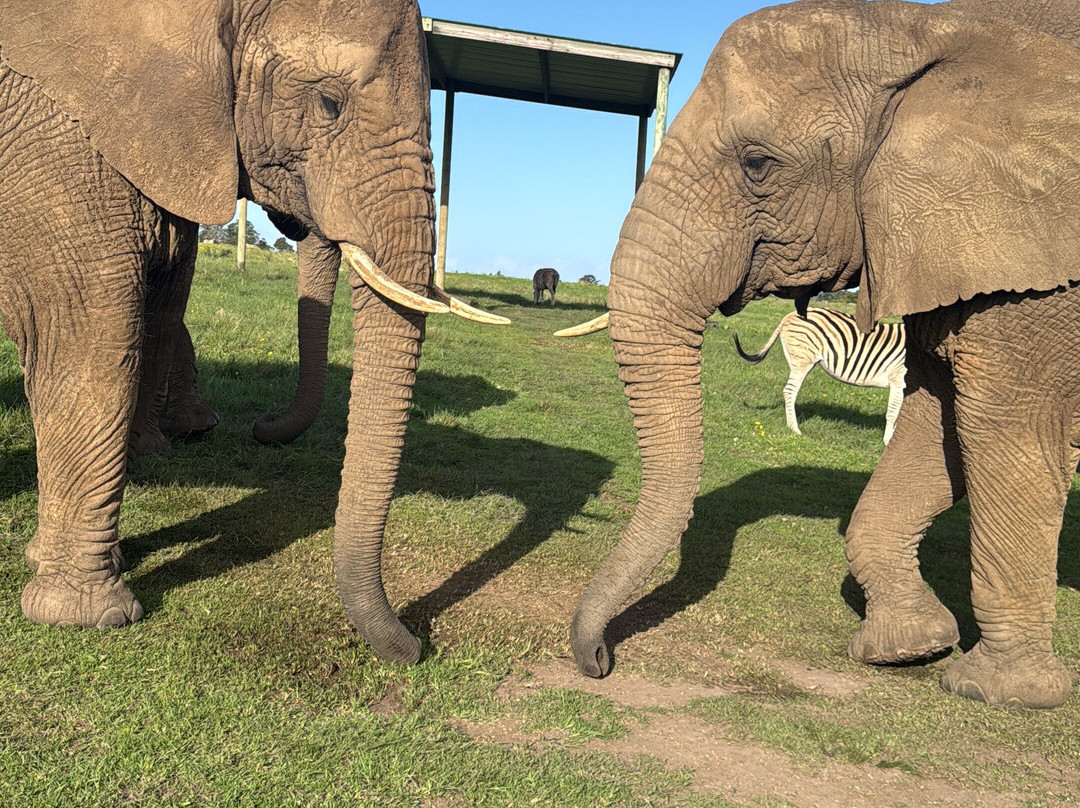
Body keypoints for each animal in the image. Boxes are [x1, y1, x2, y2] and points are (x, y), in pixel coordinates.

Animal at [0, 0, 505, 664]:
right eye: (328, 103)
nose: (414, 645)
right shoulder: (46, 134)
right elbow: (92, 334)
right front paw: (88, 618)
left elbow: (156, 306)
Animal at [561, 0, 1080, 708]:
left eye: (758, 163)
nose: (598, 659)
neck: (931, 27)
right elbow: (941, 422)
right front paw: (905, 647)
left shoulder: (1040, 271)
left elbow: (1011, 435)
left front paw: (997, 691)